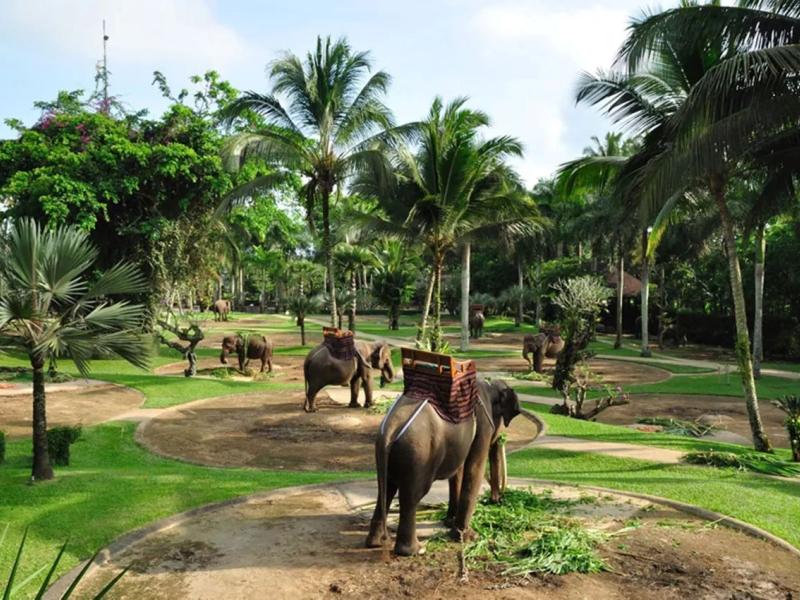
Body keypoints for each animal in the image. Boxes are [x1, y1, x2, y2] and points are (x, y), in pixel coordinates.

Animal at [365, 379, 521, 556]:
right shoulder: (483, 423)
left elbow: (458, 471)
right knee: (411, 496)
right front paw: (467, 537)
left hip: (388, 454)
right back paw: (415, 550)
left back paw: (375, 542)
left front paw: (450, 522)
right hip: (418, 455)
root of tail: (390, 431)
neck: (489, 385)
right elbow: (475, 467)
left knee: (386, 489)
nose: (497, 500)